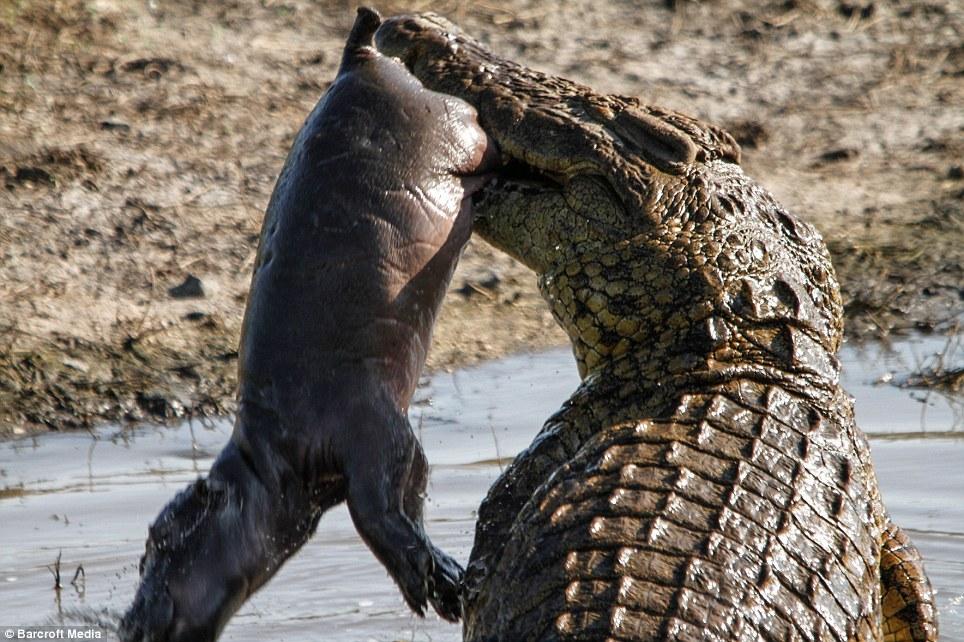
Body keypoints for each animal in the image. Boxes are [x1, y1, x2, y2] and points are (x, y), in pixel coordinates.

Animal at [120, 8, 494, 640]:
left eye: (160, 546)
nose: (128, 622)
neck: (270, 462)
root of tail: (355, 61)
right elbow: (399, 497)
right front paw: (436, 583)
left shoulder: (370, 424)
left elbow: (384, 504)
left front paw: (437, 580)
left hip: (452, 125)